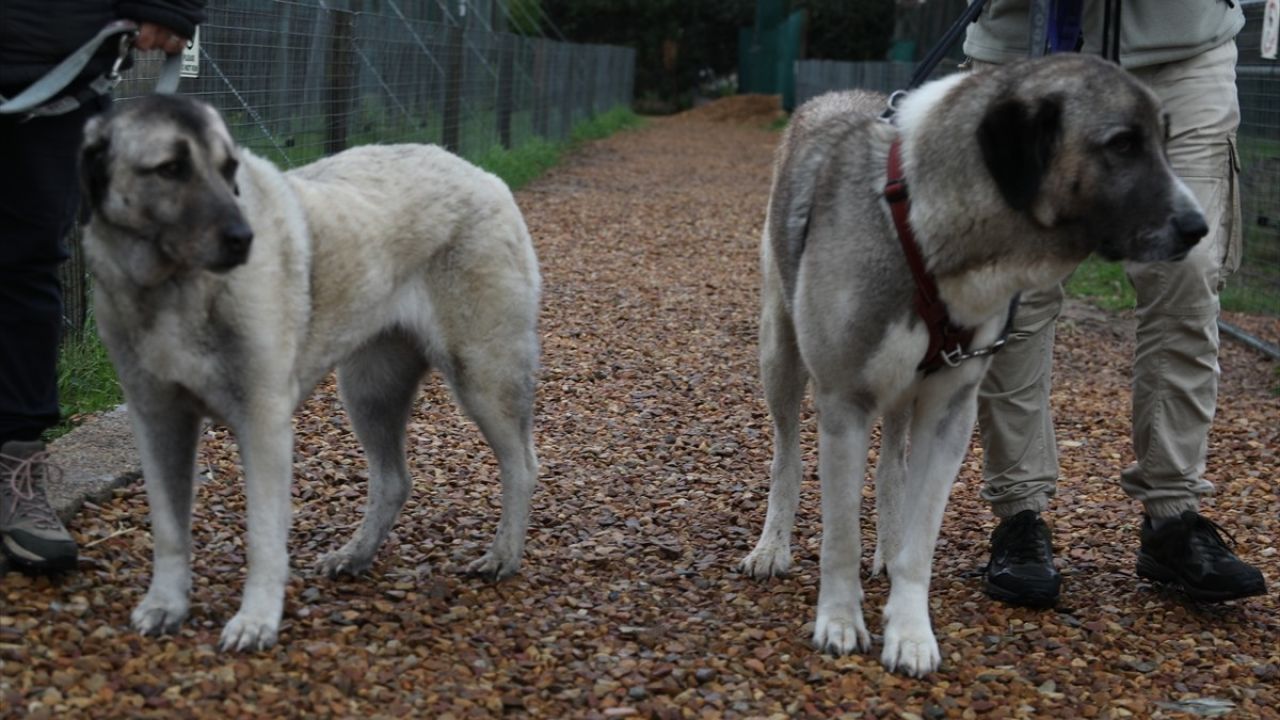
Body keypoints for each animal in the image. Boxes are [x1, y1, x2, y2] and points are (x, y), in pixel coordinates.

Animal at [80, 94, 540, 650]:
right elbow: (169, 530)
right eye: (170, 169)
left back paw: (503, 555)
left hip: (482, 376)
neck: (173, 290)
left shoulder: (262, 425)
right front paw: (166, 605)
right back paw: (357, 554)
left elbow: (263, 536)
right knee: (393, 480)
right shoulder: (158, 422)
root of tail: (482, 175)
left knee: (521, 465)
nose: (244, 239)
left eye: (228, 169)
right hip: (369, 393)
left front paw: (255, 621)